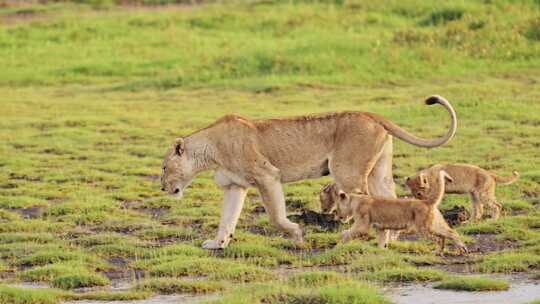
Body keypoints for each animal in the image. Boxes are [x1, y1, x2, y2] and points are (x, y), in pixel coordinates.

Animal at [160, 95, 456, 249]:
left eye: (164, 167)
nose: (162, 187)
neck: (211, 150)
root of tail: (372, 115)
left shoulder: (267, 175)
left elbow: (276, 217)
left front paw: (297, 235)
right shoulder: (235, 186)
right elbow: (227, 219)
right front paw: (218, 244)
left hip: (346, 170)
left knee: (369, 202)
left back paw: (375, 240)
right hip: (378, 170)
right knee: (390, 198)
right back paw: (390, 239)